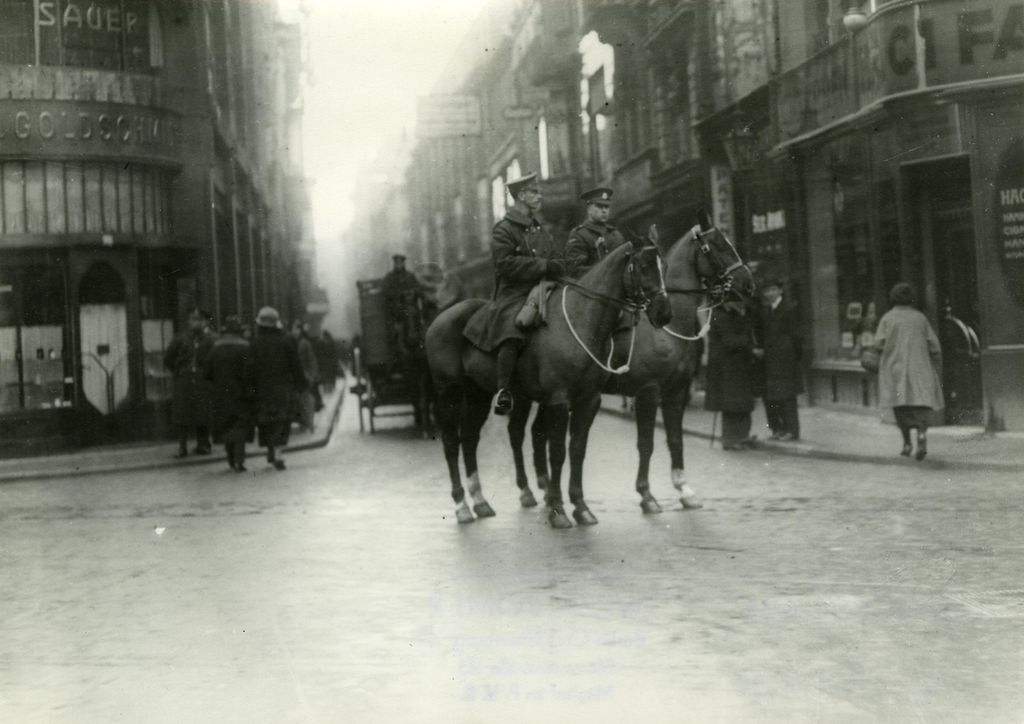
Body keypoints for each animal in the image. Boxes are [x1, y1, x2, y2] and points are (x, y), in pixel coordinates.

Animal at [423, 240, 671, 528]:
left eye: (663, 266)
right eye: (643, 266)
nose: (664, 313)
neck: (580, 320)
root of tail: (440, 319)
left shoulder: (589, 400)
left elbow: (576, 450)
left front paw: (580, 507)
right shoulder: (558, 401)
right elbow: (557, 453)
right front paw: (558, 511)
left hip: (478, 394)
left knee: (470, 439)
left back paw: (481, 503)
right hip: (449, 392)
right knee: (452, 442)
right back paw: (462, 506)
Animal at [509, 219, 757, 509]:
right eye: (716, 246)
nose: (748, 284)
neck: (669, 328)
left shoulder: (676, 391)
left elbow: (676, 438)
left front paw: (684, 489)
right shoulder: (648, 392)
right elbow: (646, 443)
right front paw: (646, 494)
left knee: (539, 432)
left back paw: (547, 487)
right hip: (523, 395)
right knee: (517, 432)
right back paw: (527, 491)